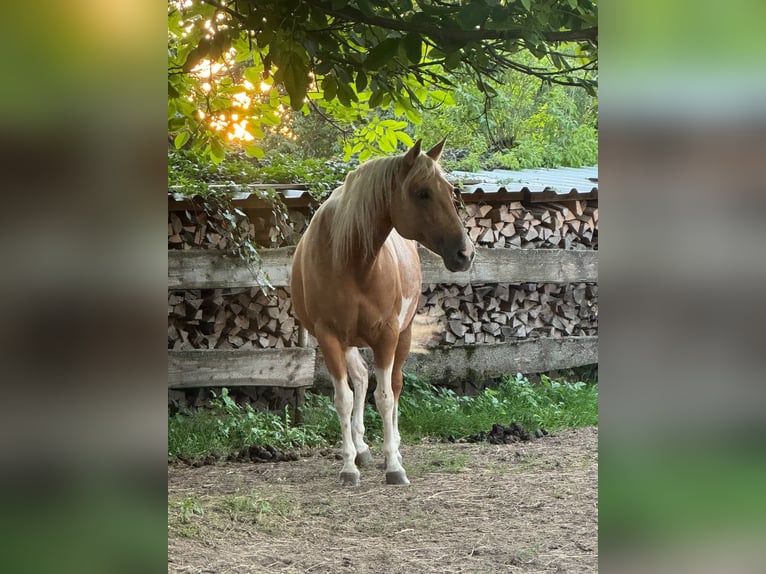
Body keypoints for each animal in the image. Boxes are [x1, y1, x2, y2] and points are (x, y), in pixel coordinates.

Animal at [290, 139, 474, 486]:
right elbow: (344, 398)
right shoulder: (329, 337)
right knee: (361, 378)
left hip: (403, 335)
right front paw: (348, 466)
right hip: (348, 342)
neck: (351, 261)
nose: (466, 254)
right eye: (422, 192)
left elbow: (386, 397)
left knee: (395, 386)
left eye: (450, 191)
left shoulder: (387, 335)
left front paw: (394, 467)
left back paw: (394, 449)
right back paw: (361, 449)